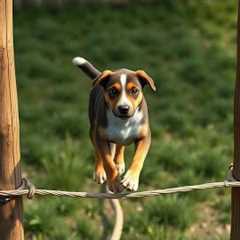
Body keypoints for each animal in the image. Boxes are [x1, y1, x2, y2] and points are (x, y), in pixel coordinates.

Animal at [72, 56, 157, 193]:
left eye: (134, 90)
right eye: (113, 91)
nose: (124, 108)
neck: (123, 121)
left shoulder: (144, 136)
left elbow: (139, 158)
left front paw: (131, 180)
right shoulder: (100, 136)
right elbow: (107, 160)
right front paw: (114, 183)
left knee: (120, 145)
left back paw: (119, 162)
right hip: (93, 128)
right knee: (98, 151)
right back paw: (99, 171)